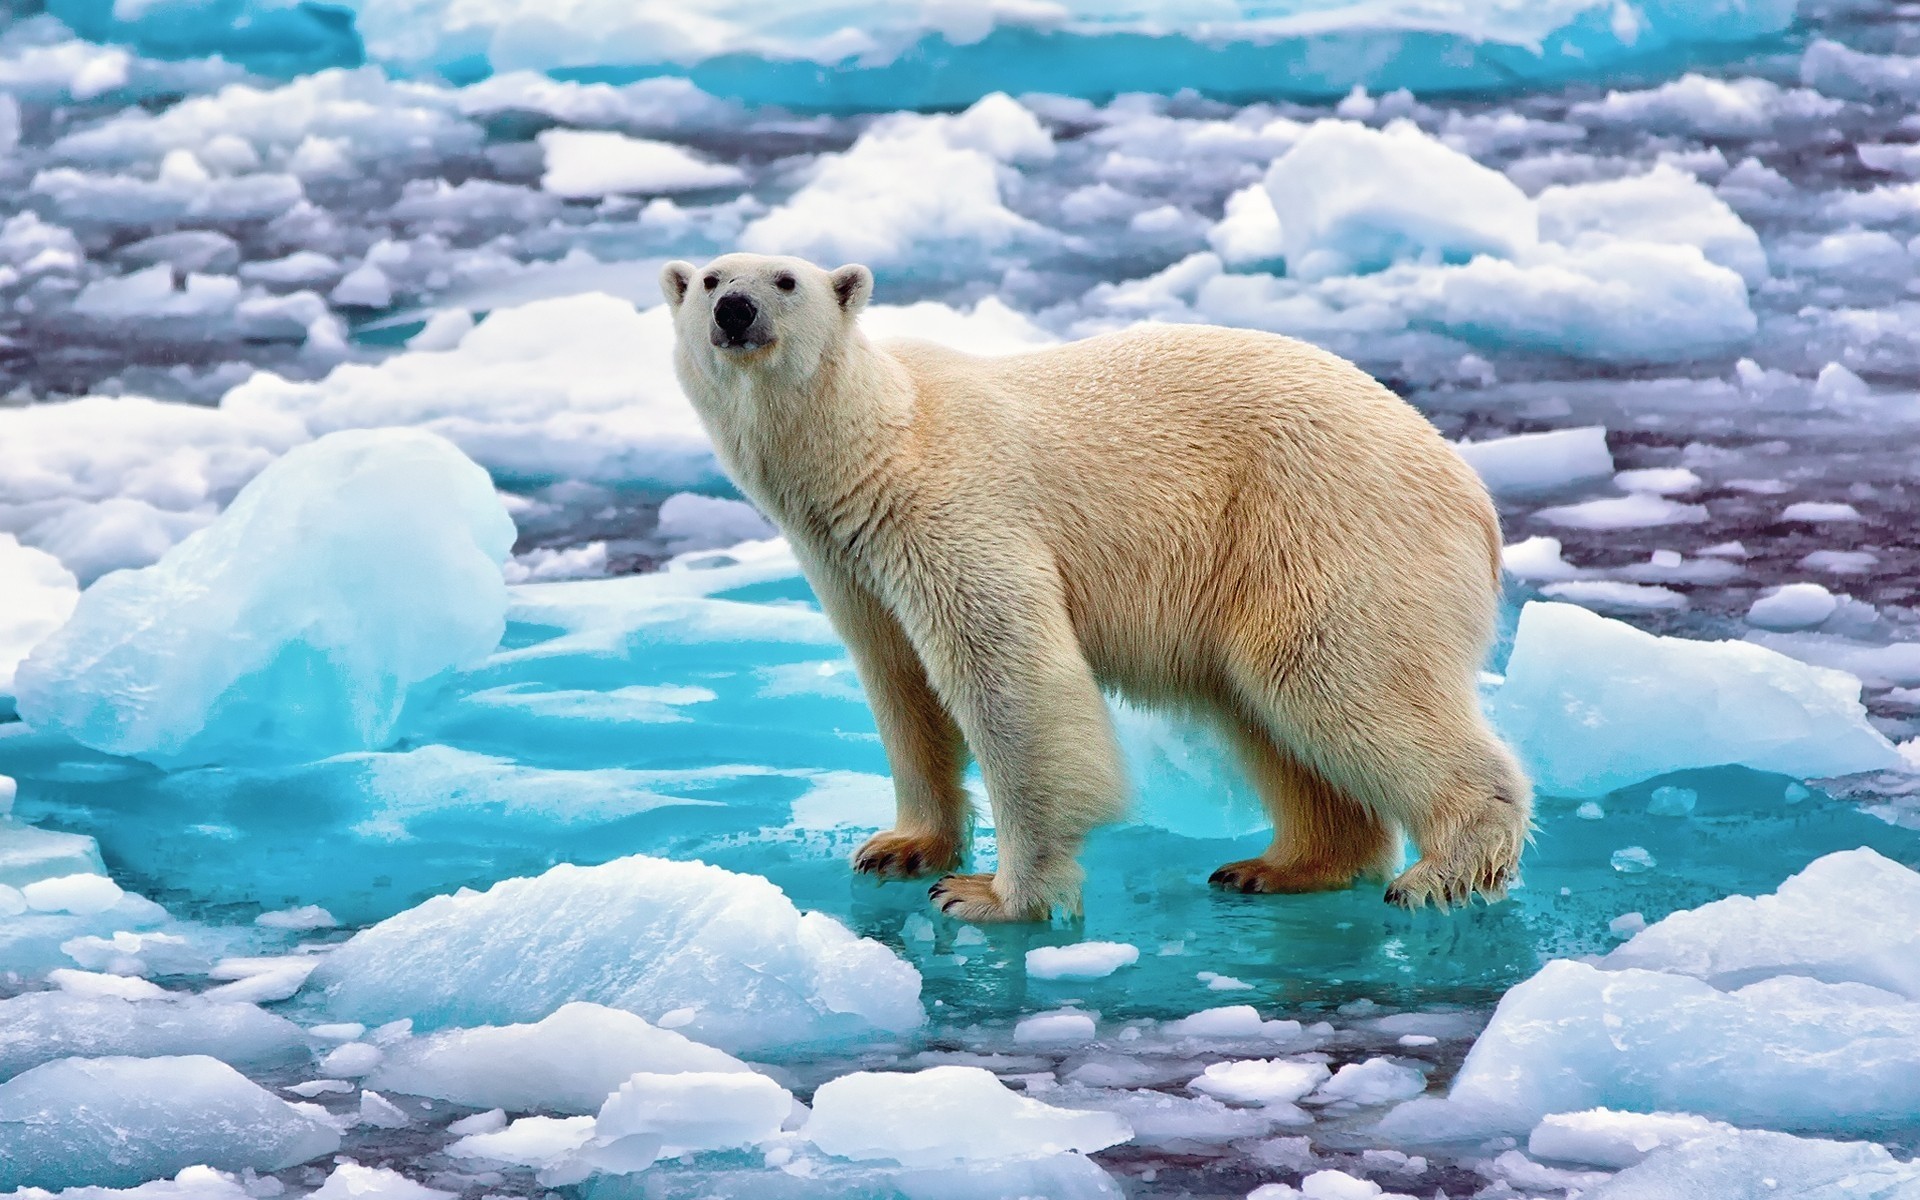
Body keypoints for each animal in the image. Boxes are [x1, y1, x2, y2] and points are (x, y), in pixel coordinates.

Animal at [660, 253, 1528, 921]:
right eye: (709, 278)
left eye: (785, 279)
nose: (735, 310)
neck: (876, 442)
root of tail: (1473, 495)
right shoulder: (850, 563)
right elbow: (900, 684)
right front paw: (898, 846)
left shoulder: (954, 509)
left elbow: (1013, 680)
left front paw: (991, 895)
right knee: (1267, 711)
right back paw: (1279, 866)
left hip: (1325, 527)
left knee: (1332, 676)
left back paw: (1441, 871)